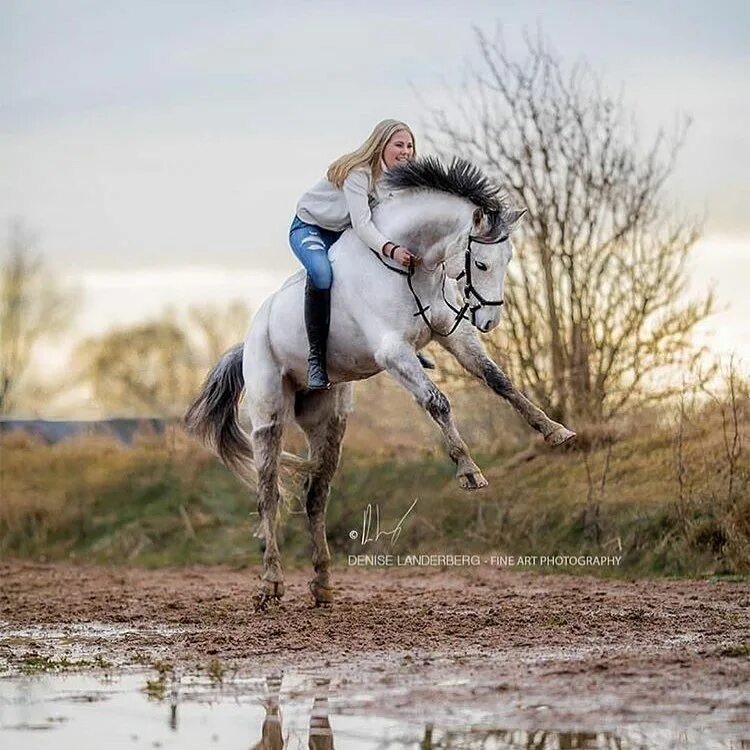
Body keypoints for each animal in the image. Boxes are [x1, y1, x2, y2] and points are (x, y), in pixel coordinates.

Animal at [187, 156, 576, 608]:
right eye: (480, 264)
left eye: (510, 258)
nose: (490, 320)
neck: (413, 266)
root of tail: (246, 342)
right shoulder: (393, 353)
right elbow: (437, 401)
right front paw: (469, 471)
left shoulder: (454, 334)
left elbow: (500, 381)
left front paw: (554, 430)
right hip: (269, 415)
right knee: (268, 495)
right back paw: (270, 585)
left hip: (328, 422)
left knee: (315, 496)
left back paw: (323, 584)